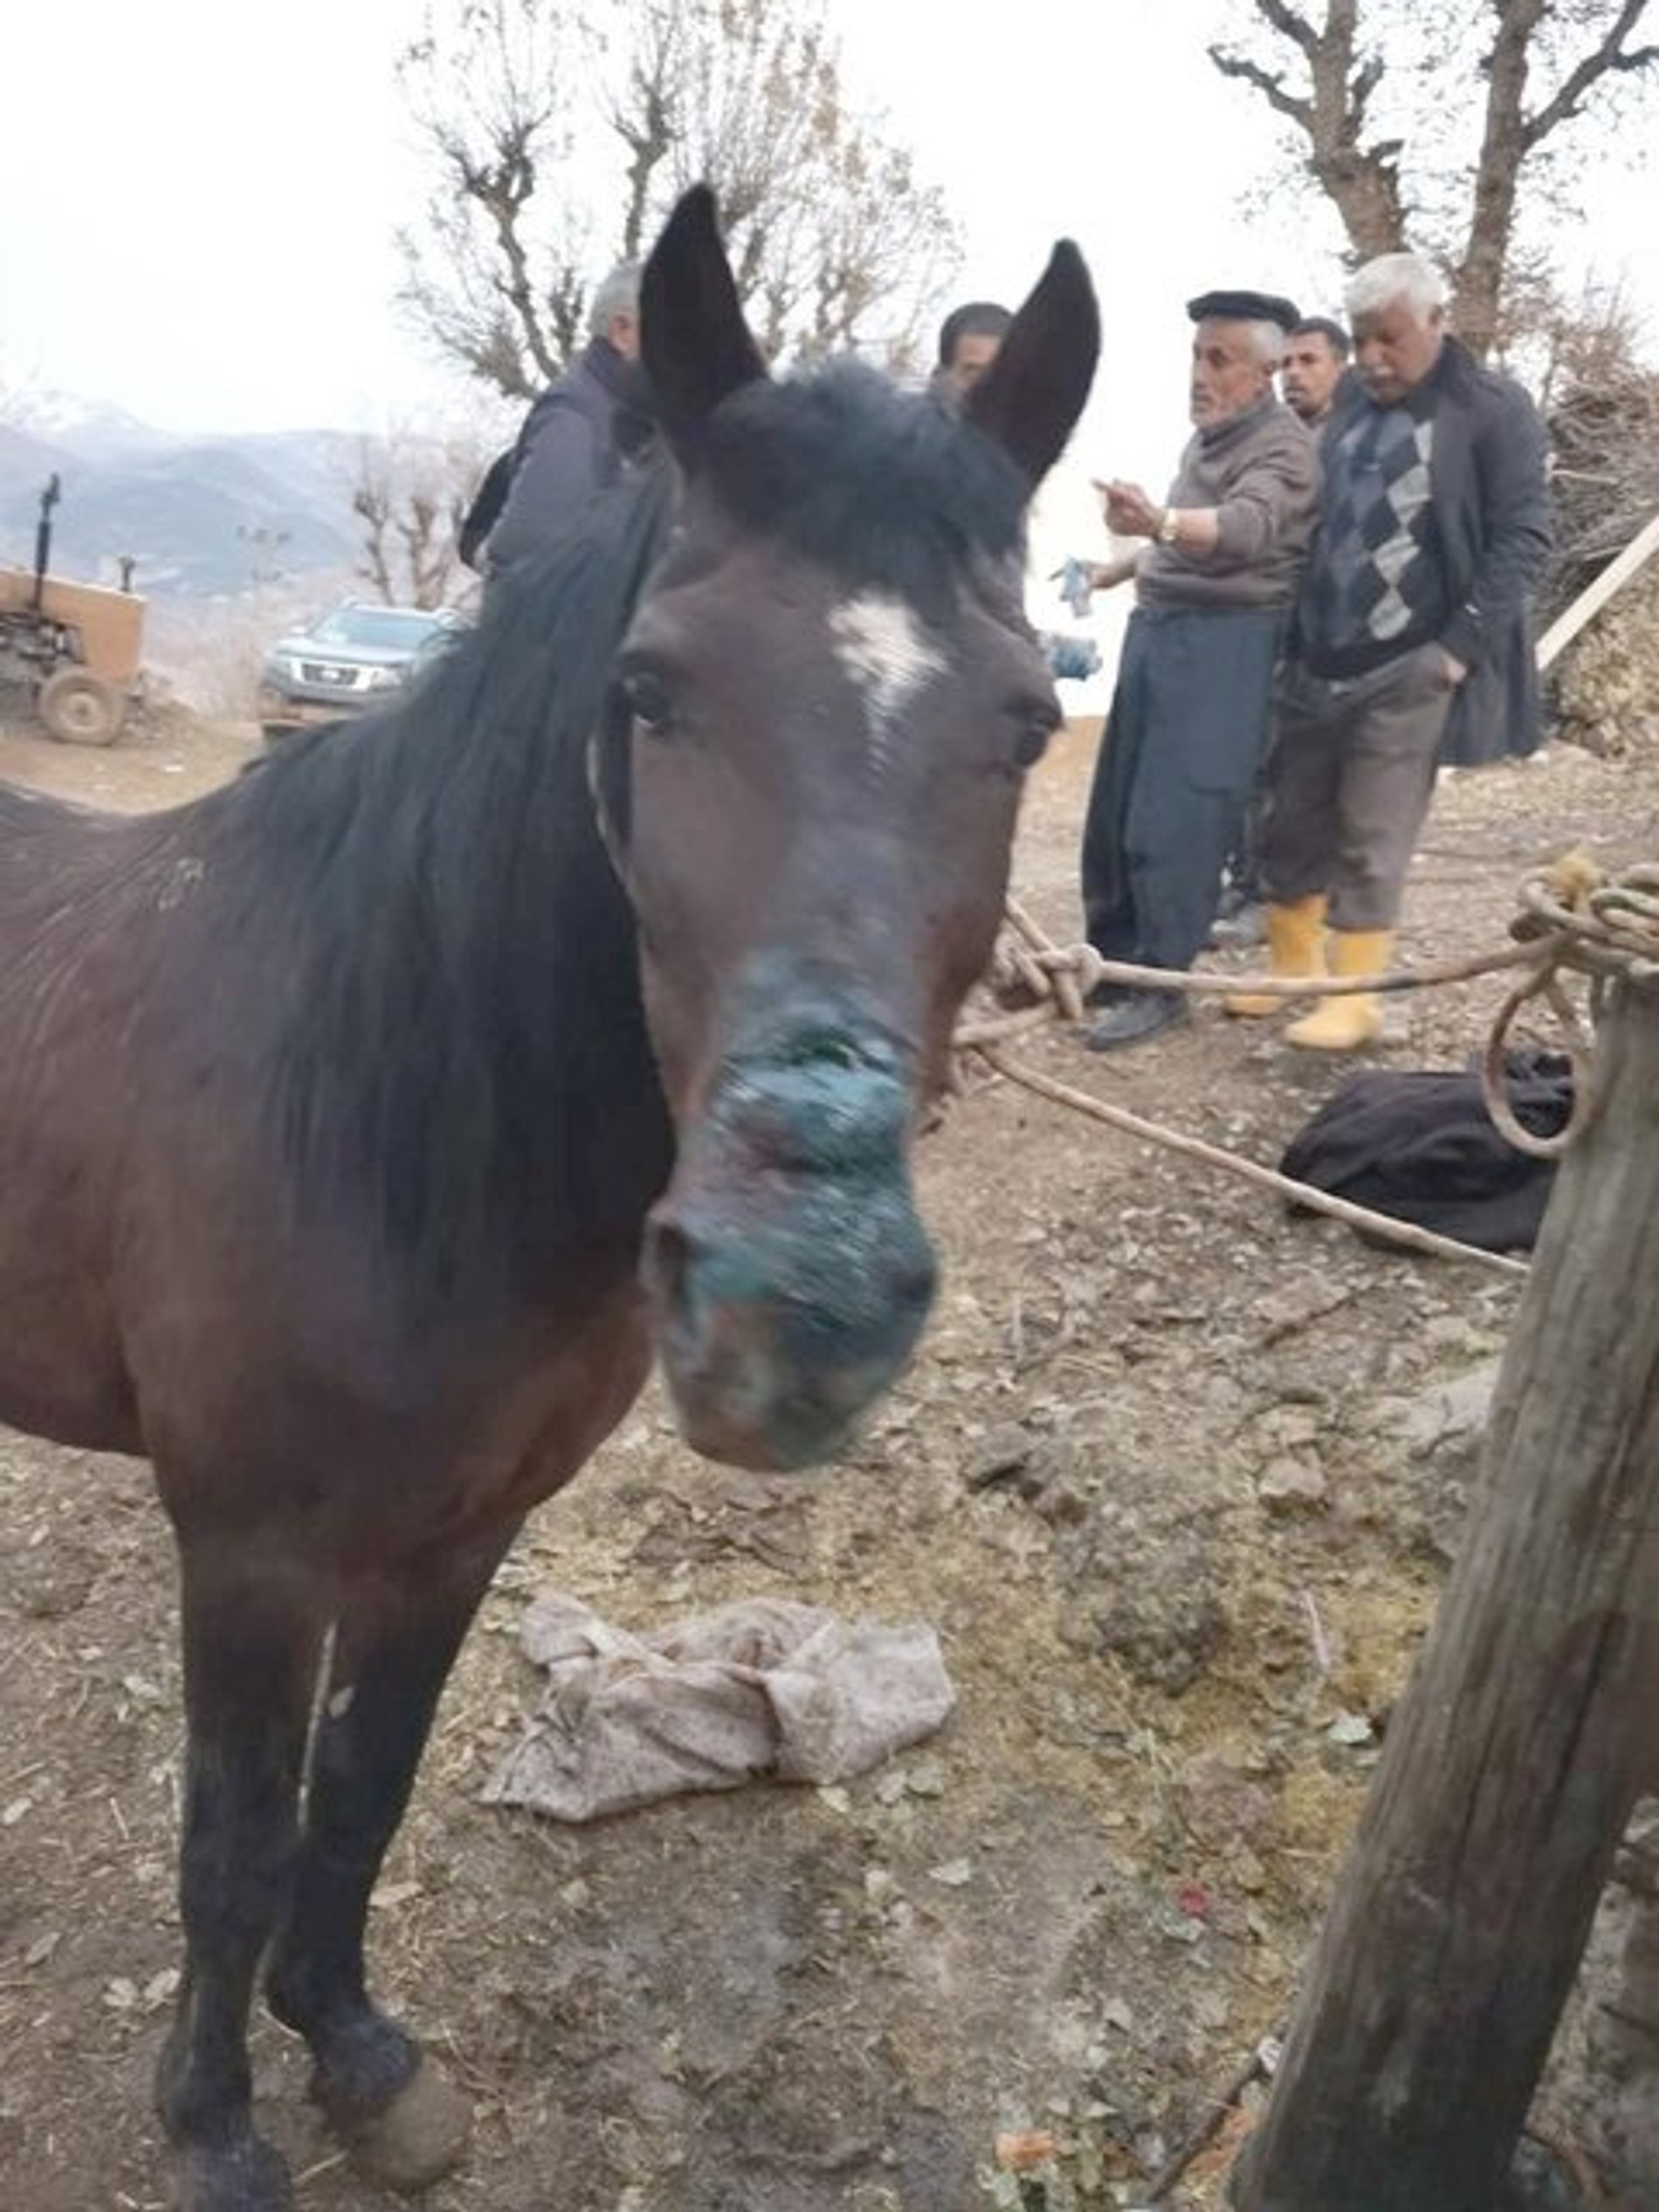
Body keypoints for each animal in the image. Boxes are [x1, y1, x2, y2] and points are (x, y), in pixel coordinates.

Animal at [0, 187, 1098, 2212]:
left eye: (1020, 726)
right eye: (648, 692)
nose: (792, 1306)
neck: (380, 1111)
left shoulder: (462, 1529)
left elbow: (362, 1794)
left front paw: (357, 2054)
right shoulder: (249, 1548)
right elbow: (229, 1844)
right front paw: (216, 2129)